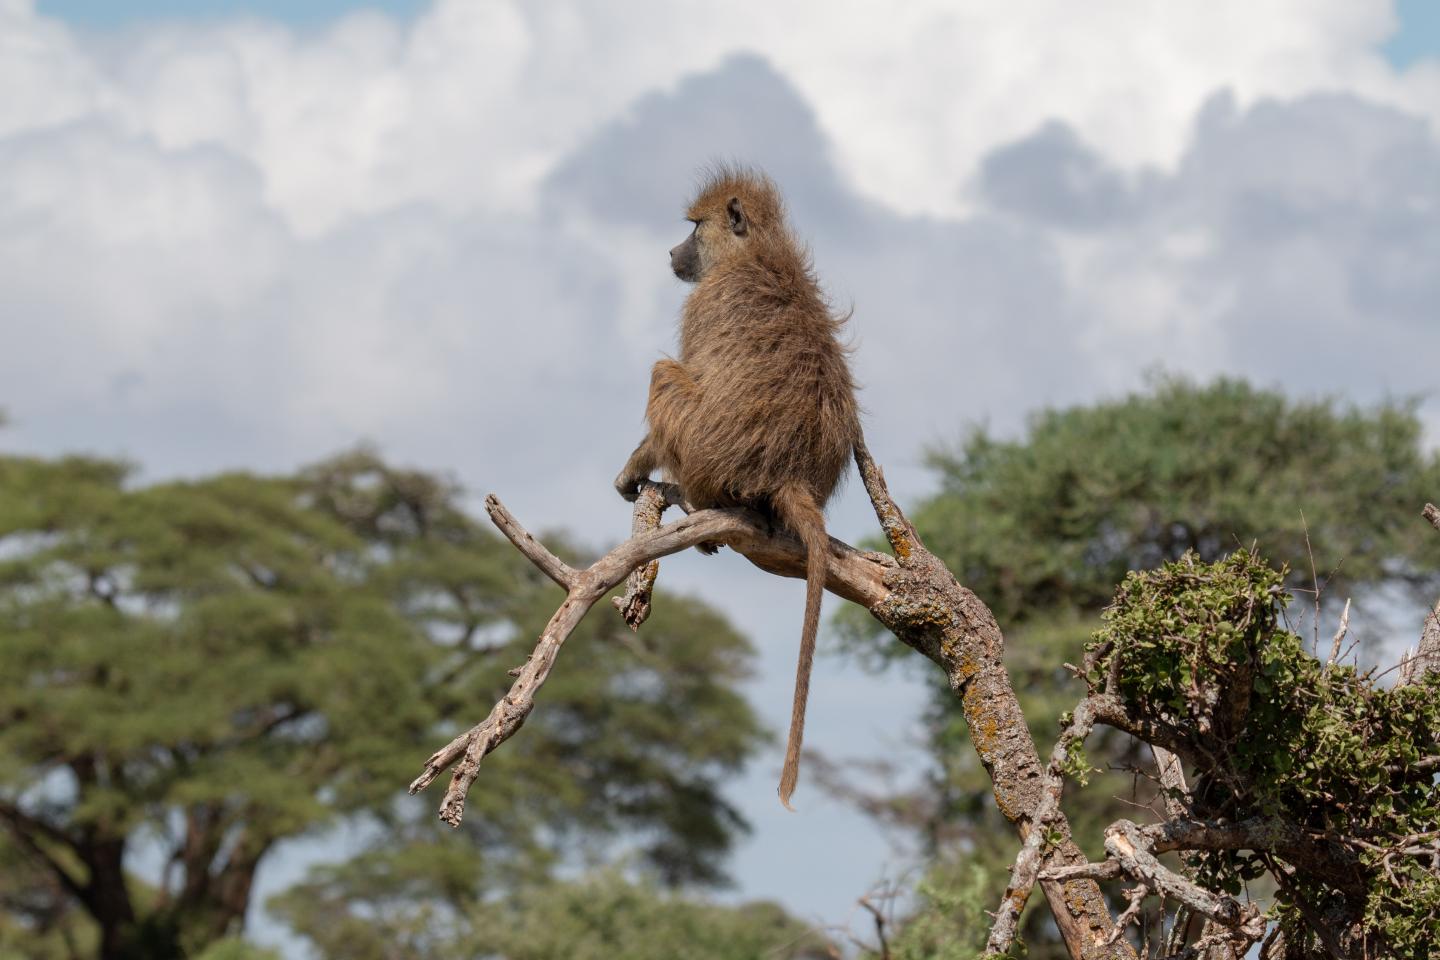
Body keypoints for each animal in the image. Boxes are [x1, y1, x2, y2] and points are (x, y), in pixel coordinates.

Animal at [614, 167, 862, 810]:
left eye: (694, 227)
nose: (671, 253)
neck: (759, 253)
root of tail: (789, 474)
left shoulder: (703, 303)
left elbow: (690, 372)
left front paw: (632, 470)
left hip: (704, 455)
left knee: (664, 373)